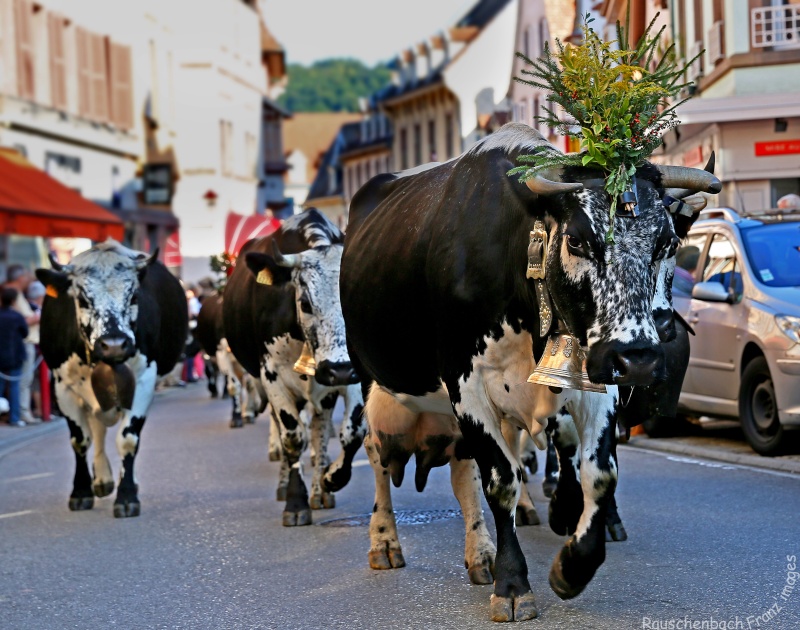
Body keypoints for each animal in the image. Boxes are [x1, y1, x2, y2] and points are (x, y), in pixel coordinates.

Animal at [35, 239, 188, 520]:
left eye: (134, 296)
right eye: (83, 298)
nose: (115, 345)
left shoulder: (143, 381)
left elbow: (128, 440)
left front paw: (127, 496)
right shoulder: (62, 387)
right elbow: (80, 440)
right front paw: (81, 491)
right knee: (96, 428)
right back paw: (102, 480)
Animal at [222, 210, 366, 524]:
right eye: (305, 302)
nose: (339, 370)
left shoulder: (353, 376)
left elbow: (352, 432)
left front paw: (331, 479)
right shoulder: (272, 375)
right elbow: (292, 437)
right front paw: (295, 502)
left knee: (320, 428)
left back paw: (321, 491)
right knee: (285, 429)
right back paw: (284, 484)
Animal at [340, 122, 720, 624]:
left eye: (668, 243)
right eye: (577, 241)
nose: (638, 357)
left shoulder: (593, 383)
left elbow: (599, 473)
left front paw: (572, 565)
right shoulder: (466, 387)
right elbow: (502, 480)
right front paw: (513, 584)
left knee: (463, 473)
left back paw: (480, 554)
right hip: (373, 382)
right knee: (378, 456)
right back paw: (384, 541)